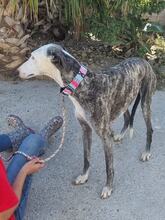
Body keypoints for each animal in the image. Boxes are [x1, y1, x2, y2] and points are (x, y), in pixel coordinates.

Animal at [17, 43, 157, 199]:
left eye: (33, 57)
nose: (17, 71)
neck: (82, 84)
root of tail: (143, 60)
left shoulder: (105, 136)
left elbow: (109, 166)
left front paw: (108, 187)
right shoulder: (85, 129)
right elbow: (86, 157)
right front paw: (84, 177)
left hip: (145, 102)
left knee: (149, 128)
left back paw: (146, 152)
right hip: (123, 99)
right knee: (126, 116)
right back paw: (121, 135)